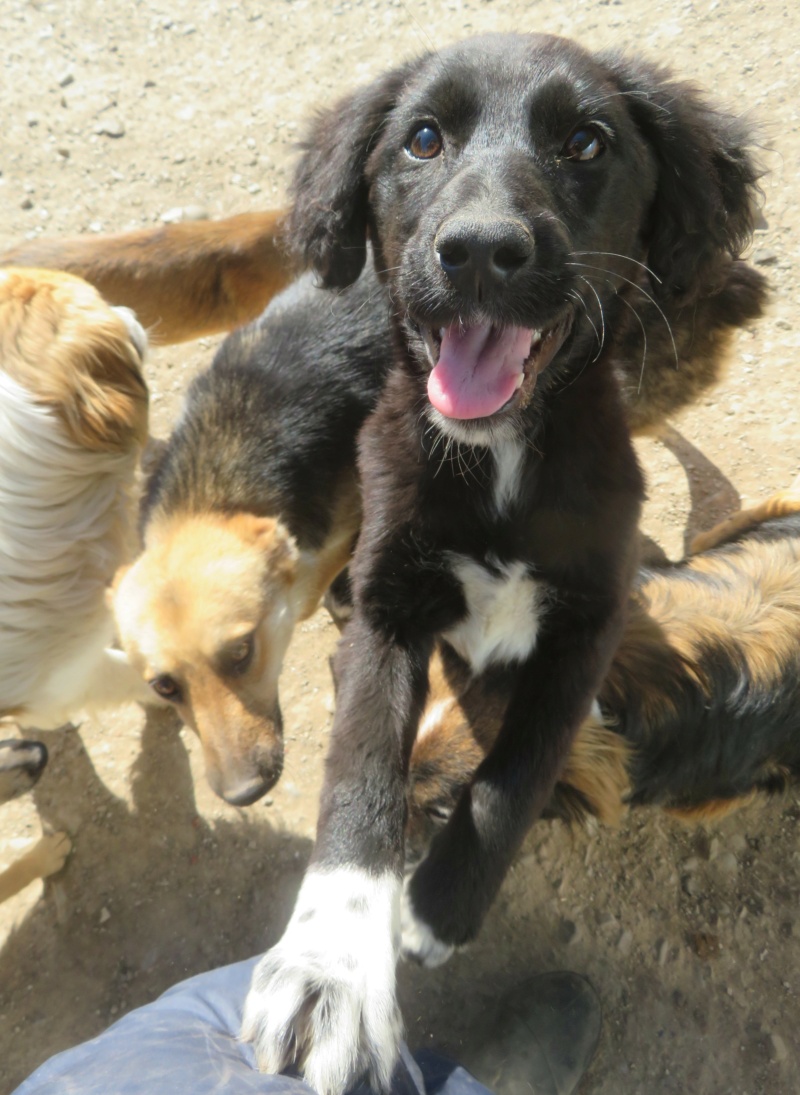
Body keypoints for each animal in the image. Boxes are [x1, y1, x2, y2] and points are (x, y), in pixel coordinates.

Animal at [245, 29, 770, 1090]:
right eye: (423, 139)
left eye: (585, 141)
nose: (482, 250)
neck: (497, 462)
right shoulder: (388, 606)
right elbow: (361, 772)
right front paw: (330, 969)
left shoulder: (593, 621)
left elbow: (517, 769)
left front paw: (437, 910)